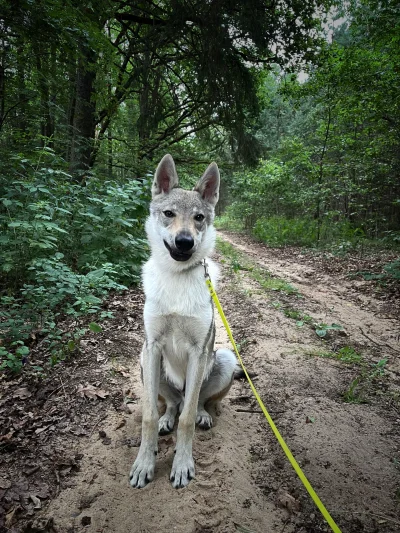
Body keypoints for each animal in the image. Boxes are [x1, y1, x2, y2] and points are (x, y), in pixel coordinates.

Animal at [130, 153, 238, 486]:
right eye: (169, 214)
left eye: (199, 218)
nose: (185, 241)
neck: (177, 279)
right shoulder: (151, 346)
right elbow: (149, 416)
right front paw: (144, 464)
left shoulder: (198, 351)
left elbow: (187, 419)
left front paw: (181, 465)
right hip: (145, 363)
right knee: (172, 405)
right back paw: (167, 419)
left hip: (224, 360)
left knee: (197, 401)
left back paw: (203, 414)